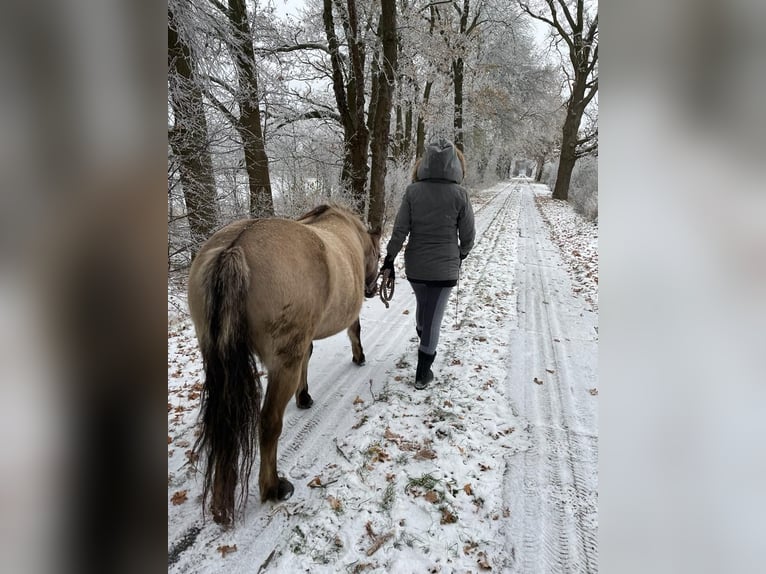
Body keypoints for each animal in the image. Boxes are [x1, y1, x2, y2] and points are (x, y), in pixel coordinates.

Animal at [188, 206, 382, 528]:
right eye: (378, 256)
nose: (371, 288)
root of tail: (234, 248)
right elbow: (354, 330)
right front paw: (359, 356)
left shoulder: (304, 340)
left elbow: (308, 356)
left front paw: (304, 397)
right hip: (282, 365)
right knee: (268, 423)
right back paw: (272, 487)